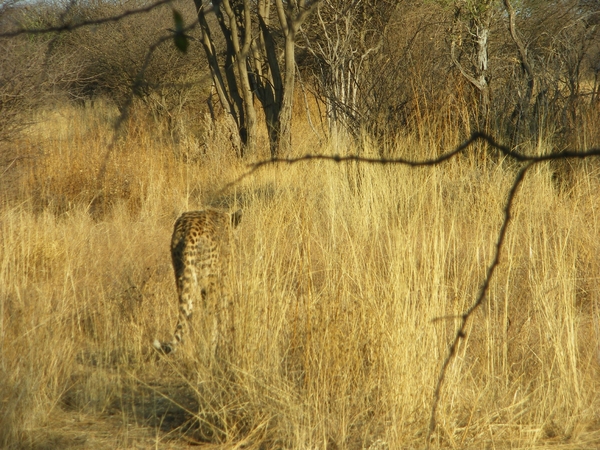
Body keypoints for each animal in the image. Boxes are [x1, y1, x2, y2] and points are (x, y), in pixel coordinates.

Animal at [155, 208, 244, 356]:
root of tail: (189, 230)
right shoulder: (223, 280)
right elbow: (223, 309)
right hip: (209, 280)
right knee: (208, 314)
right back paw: (209, 350)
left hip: (182, 275)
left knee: (187, 313)